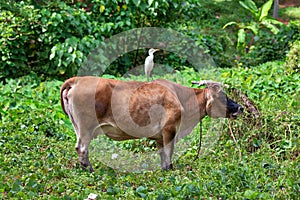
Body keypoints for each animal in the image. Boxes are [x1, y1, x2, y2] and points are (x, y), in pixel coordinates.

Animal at [59, 76, 243, 172]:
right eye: (222, 96)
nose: (239, 107)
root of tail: (77, 80)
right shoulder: (170, 129)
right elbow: (169, 152)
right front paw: (169, 169)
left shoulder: (160, 136)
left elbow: (162, 153)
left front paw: (163, 169)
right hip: (86, 128)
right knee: (82, 148)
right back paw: (90, 170)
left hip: (78, 127)